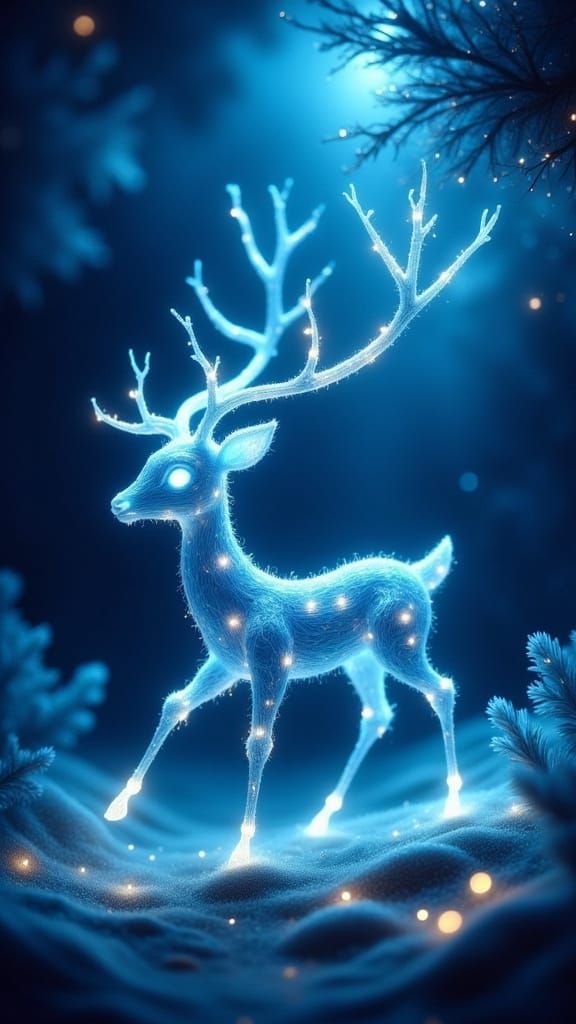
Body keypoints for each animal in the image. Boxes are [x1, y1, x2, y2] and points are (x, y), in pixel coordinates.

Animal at [93, 164, 499, 867]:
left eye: (179, 473)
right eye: (150, 459)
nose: (118, 504)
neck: (237, 603)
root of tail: (423, 572)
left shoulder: (268, 655)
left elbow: (260, 741)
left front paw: (241, 850)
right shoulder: (222, 660)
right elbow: (174, 701)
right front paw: (117, 808)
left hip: (401, 637)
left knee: (441, 688)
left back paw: (450, 801)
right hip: (361, 657)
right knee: (379, 713)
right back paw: (321, 817)